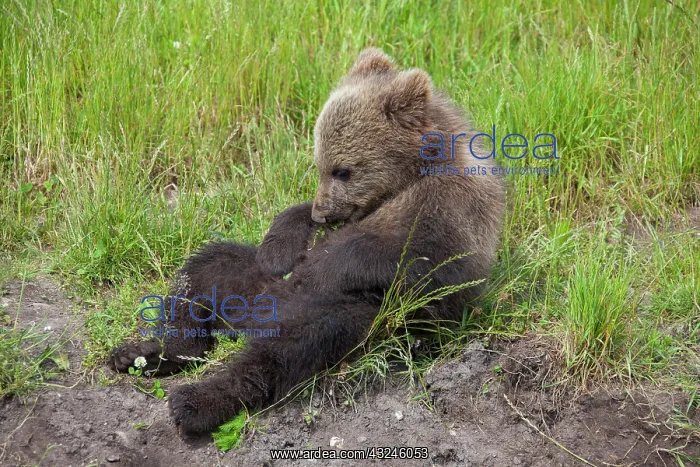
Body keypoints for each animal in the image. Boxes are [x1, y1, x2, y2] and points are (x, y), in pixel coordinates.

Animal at [109, 48, 505, 435]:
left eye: (343, 170)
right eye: (320, 165)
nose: (322, 212)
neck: (410, 176)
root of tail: (249, 320)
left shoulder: (450, 209)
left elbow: (424, 260)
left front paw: (318, 267)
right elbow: (289, 227)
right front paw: (281, 249)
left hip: (365, 315)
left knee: (291, 345)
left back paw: (195, 402)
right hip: (250, 285)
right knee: (206, 270)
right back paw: (146, 354)